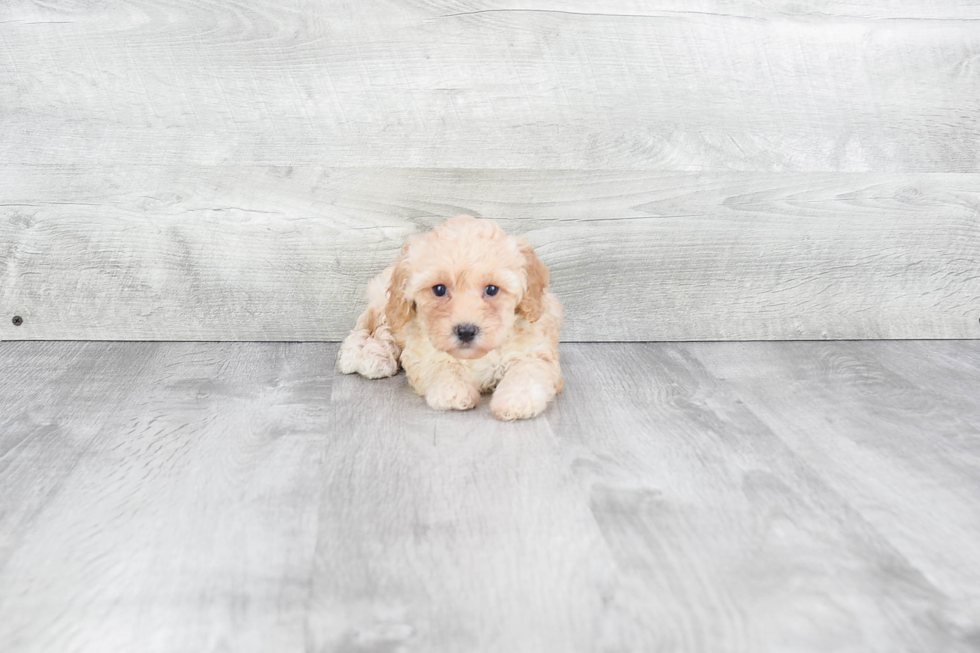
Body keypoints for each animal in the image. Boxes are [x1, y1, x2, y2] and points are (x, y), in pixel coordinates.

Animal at [334, 214, 560, 418]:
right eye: (439, 289)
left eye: (492, 289)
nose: (466, 331)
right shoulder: (423, 353)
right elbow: (442, 366)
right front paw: (453, 392)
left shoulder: (535, 351)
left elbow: (527, 372)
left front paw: (517, 401)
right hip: (386, 304)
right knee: (371, 325)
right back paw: (371, 355)